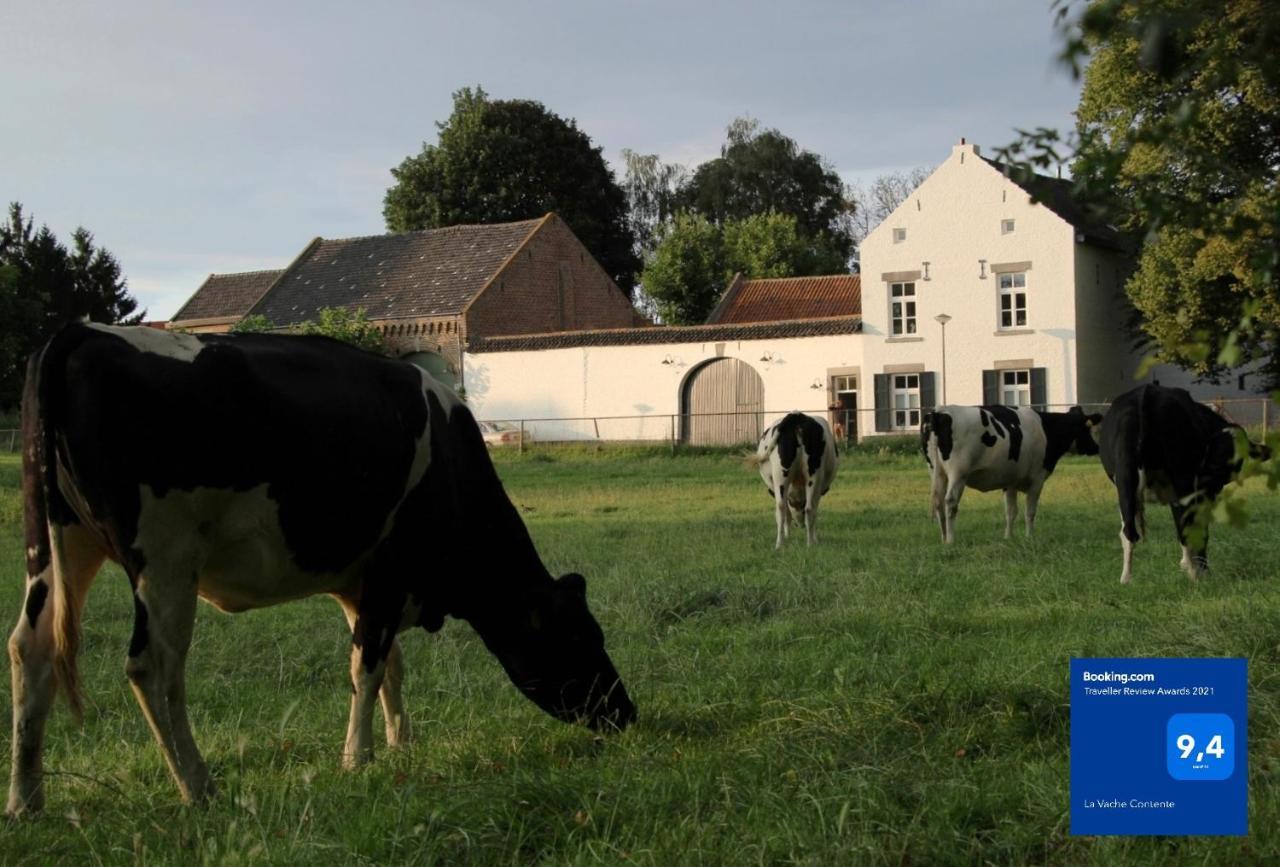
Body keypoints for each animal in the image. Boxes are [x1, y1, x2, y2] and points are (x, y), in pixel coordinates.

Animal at [6, 321, 634, 814]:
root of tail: (82, 332)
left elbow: (391, 665)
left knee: (31, 647)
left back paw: (26, 799)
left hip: (61, 545)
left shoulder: (363, 582)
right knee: (154, 667)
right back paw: (198, 786)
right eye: (582, 636)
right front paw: (358, 758)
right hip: (165, 556)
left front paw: (400, 743)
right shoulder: (389, 569)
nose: (626, 712)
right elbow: (368, 665)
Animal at [747, 412, 839, 548]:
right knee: (809, 508)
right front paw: (814, 538)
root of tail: (796, 416)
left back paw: (780, 545)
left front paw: (789, 537)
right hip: (813, 475)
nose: (800, 525)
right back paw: (809, 543)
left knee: (782, 508)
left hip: (781, 476)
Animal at [921, 404, 1100, 540]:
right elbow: (1030, 511)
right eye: (1086, 428)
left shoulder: (1010, 482)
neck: (1045, 430)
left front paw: (1008, 537)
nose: (1095, 447)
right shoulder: (1037, 479)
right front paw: (1029, 537)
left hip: (936, 472)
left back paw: (944, 538)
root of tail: (941, 411)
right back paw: (951, 539)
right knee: (950, 502)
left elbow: (1010, 511)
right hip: (958, 473)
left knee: (938, 503)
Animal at [1100, 384, 1269, 581]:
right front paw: (1200, 569)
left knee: (1129, 532)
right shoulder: (1200, 493)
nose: (1215, 476)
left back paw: (1126, 579)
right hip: (1181, 481)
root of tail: (1146, 394)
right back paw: (1195, 574)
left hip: (1125, 481)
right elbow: (1199, 530)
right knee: (1186, 529)